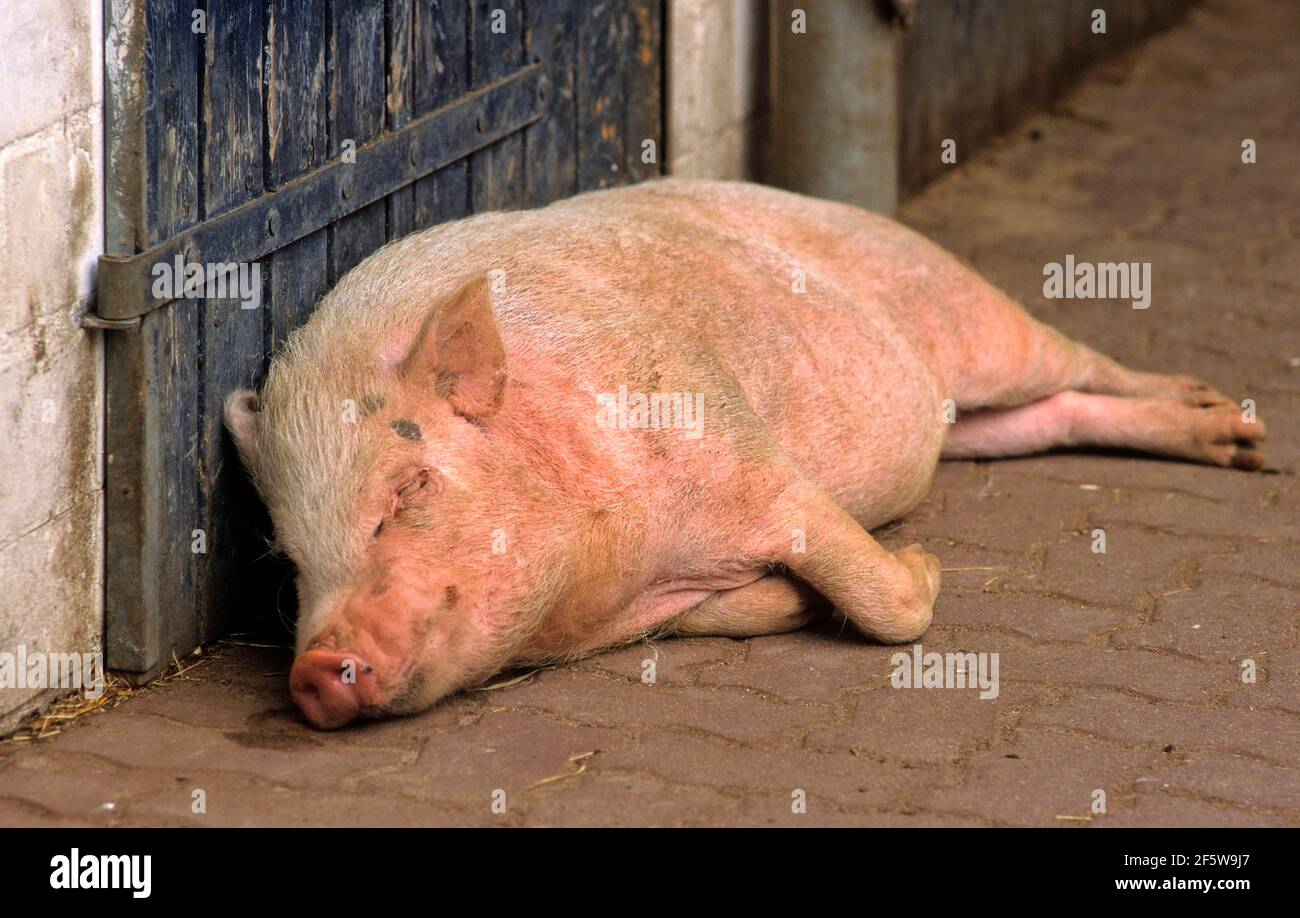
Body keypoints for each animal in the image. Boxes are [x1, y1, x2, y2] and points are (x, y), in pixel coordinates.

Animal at [226, 175, 1268, 728]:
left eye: (406, 488)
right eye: (290, 559)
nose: (317, 668)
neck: (612, 567)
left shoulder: (755, 463)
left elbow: (881, 598)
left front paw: (924, 567)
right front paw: (795, 600)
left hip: (969, 312)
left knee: (1086, 363)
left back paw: (1241, 434)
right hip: (978, 417)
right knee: (1056, 416)